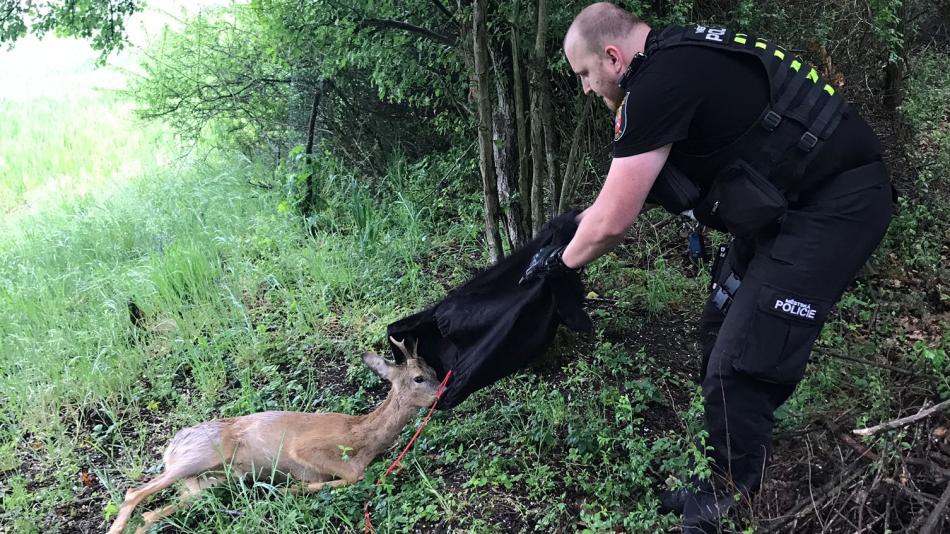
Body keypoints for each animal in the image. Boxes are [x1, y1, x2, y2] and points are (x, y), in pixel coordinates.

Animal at [106, 340, 440, 534]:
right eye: (418, 378)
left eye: (435, 371)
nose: (443, 389)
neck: (362, 437)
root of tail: (171, 446)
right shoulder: (304, 447)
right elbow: (353, 475)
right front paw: (293, 489)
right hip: (200, 456)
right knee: (134, 493)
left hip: (207, 484)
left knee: (153, 514)